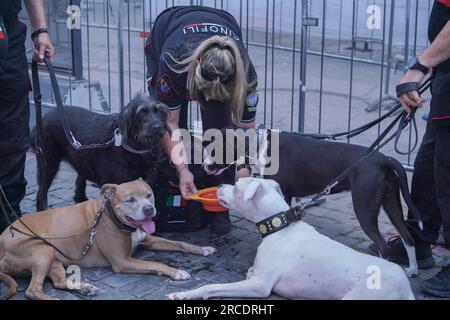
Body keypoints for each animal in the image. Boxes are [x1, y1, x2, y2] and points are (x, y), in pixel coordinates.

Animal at [0, 180, 216, 300]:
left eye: (149, 195)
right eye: (130, 200)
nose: (149, 209)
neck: (114, 217)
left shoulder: (148, 239)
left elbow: (179, 244)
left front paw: (203, 249)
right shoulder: (122, 261)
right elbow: (155, 263)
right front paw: (176, 272)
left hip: (53, 258)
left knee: (59, 283)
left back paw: (86, 288)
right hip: (41, 252)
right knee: (32, 290)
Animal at [30, 94, 170, 211]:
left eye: (158, 111)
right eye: (141, 112)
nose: (157, 127)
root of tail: (44, 117)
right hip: (47, 165)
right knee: (40, 193)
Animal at [169, 178, 414, 300]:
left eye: (237, 186)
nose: (219, 185)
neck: (280, 228)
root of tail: (407, 287)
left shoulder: (260, 286)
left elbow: (211, 287)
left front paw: (183, 294)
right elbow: (250, 270)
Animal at [206, 129, 424, 276]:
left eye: (215, 150)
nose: (204, 166)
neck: (262, 145)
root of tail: (384, 159)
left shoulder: (283, 194)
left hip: (364, 210)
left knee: (383, 246)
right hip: (392, 205)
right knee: (408, 237)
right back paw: (412, 270)